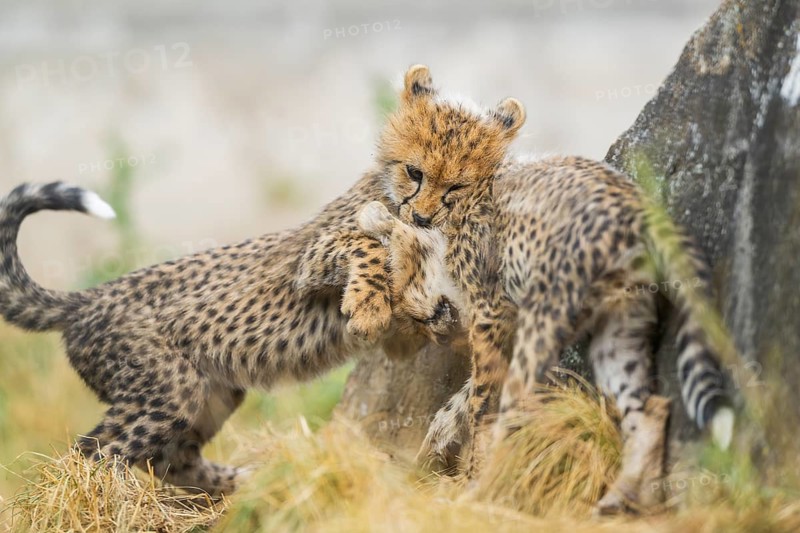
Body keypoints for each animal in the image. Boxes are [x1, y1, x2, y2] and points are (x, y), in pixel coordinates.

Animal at [0, 65, 523, 497]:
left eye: (457, 187)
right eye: (415, 171)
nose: (423, 216)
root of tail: (88, 298)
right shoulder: (312, 263)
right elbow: (367, 247)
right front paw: (369, 306)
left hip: (212, 391)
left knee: (169, 458)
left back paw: (247, 482)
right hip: (164, 389)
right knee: (89, 453)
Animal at [363, 67, 738, 514]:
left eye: (455, 187)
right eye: (415, 172)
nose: (419, 216)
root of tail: (637, 207)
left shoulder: (491, 311)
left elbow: (482, 400)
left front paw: (466, 468)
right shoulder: (501, 317)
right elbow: (468, 395)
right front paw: (440, 436)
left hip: (547, 315)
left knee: (519, 407)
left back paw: (484, 493)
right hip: (620, 327)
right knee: (650, 408)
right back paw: (624, 499)